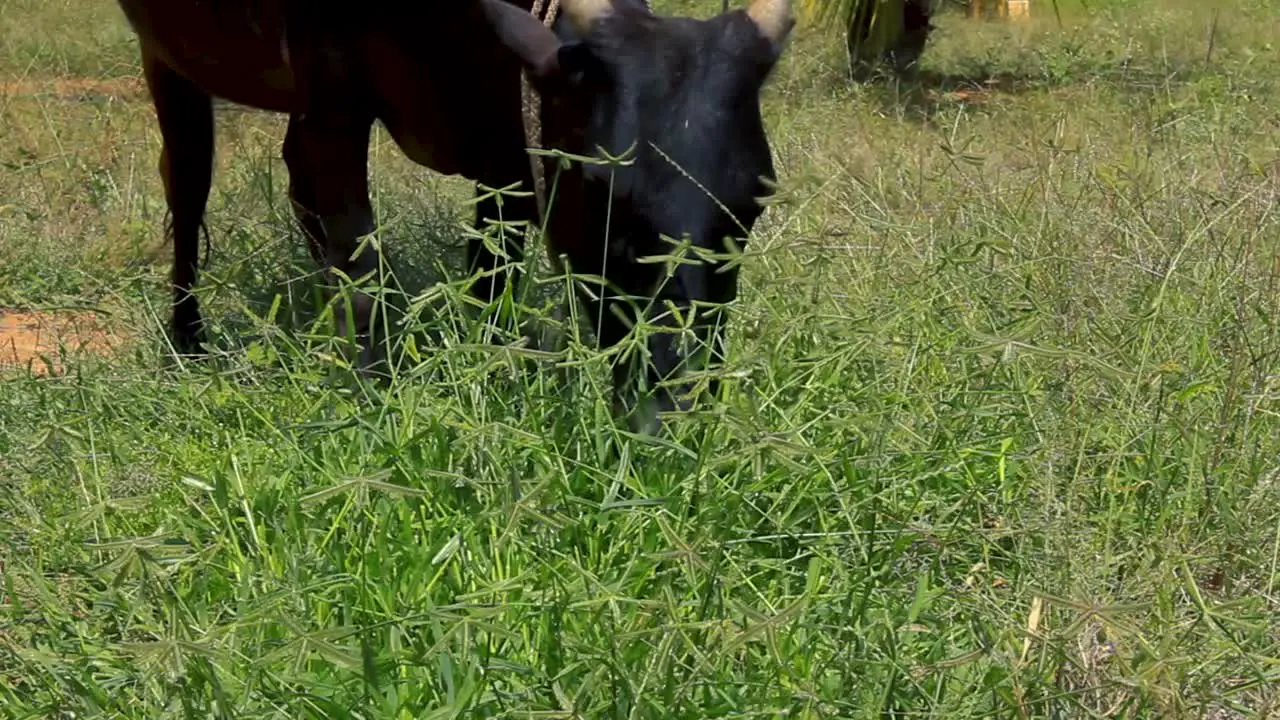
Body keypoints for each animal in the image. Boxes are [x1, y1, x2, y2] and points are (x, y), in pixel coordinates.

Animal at [115, 0, 788, 427]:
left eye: (757, 197)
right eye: (598, 186)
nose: (674, 412)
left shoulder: (506, 145)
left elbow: (490, 278)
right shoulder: (332, 105)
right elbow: (361, 268)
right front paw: (374, 394)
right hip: (166, 61)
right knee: (189, 188)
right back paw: (189, 340)